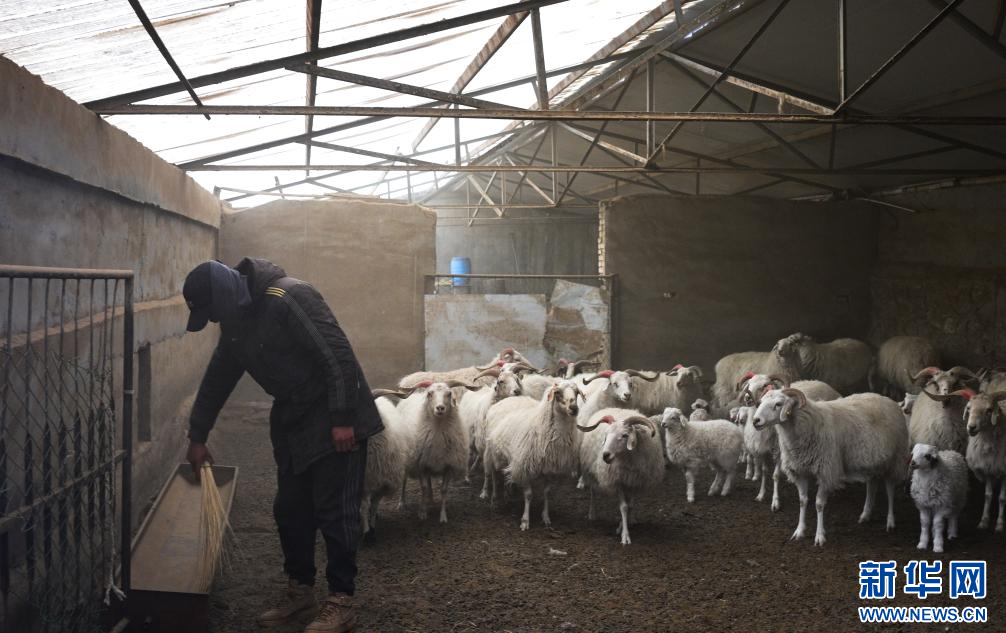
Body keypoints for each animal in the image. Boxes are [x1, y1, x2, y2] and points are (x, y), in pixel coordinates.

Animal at [360, 395, 414, 542]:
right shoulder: (362, 485)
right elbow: (363, 506)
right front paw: (366, 532)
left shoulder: (383, 484)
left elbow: (373, 505)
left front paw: (372, 530)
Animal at [393, 380, 481, 523]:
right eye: (430, 393)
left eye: (449, 394)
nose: (440, 408)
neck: (438, 429)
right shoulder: (421, 464)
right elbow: (423, 488)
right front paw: (422, 512)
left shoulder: (447, 465)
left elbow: (443, 490)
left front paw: (443, 516)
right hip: (408, 458)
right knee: (405, 480)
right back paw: (402, 502)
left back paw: (431, 499)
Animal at [482, 380, 584, 530]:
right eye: (558, 392)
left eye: (576, 392)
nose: (574, 408)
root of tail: (507, 399)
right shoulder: (523, 466)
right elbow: (529, 495)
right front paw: (525, 521)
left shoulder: (550, 468)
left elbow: (547, 492)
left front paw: (546, 517)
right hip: (493, 452)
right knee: (494, 474)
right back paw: (494, 499)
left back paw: (507, 493)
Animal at [576, 408, 663, 545]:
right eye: (606, 435)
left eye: (625, 435)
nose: (605, 455)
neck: (628, 458)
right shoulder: (618, 482)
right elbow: (624, 507)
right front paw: (625, 536)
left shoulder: (635, 482)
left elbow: (630, 505)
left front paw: (622, 526)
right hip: (590, 470)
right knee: (593, 491)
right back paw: (592, 513)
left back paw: (632, 519)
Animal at [751, 389, 908, 546]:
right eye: (761, 401)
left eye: (778, 404)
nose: (755, 421)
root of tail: (889, 400)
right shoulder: (800, 471)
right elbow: (802, 501)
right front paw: (799, 531)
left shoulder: (826, 472)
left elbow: (819, 504)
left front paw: (819, 536)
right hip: (873, 461)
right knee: (872, 484)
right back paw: (865, 514)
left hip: (896, 459)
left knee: (890, 489)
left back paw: (890, 522)